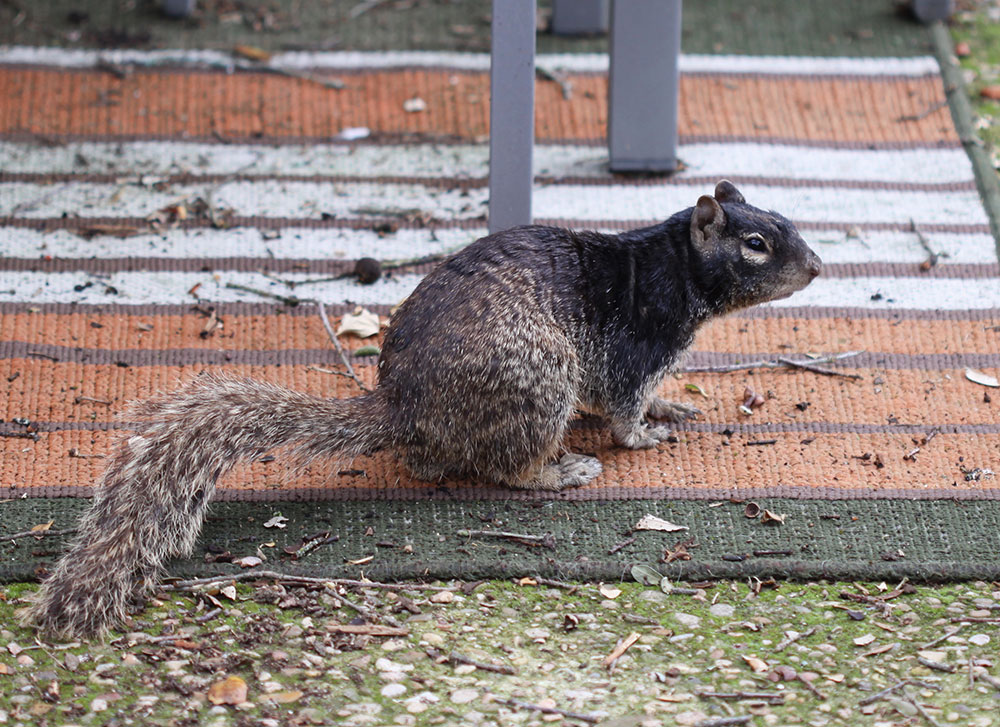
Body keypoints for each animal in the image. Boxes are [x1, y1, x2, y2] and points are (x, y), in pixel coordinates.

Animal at [24, 180, 820, 637]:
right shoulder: (636, 347)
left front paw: (675, 409)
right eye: (756, 242)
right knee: (506, 466)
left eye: (787, 218)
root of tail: (404, 405)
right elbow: (624, 410)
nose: (818, 267)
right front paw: (647, 433)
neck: (672, 266)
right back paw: (560, 471)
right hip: (539, 382)